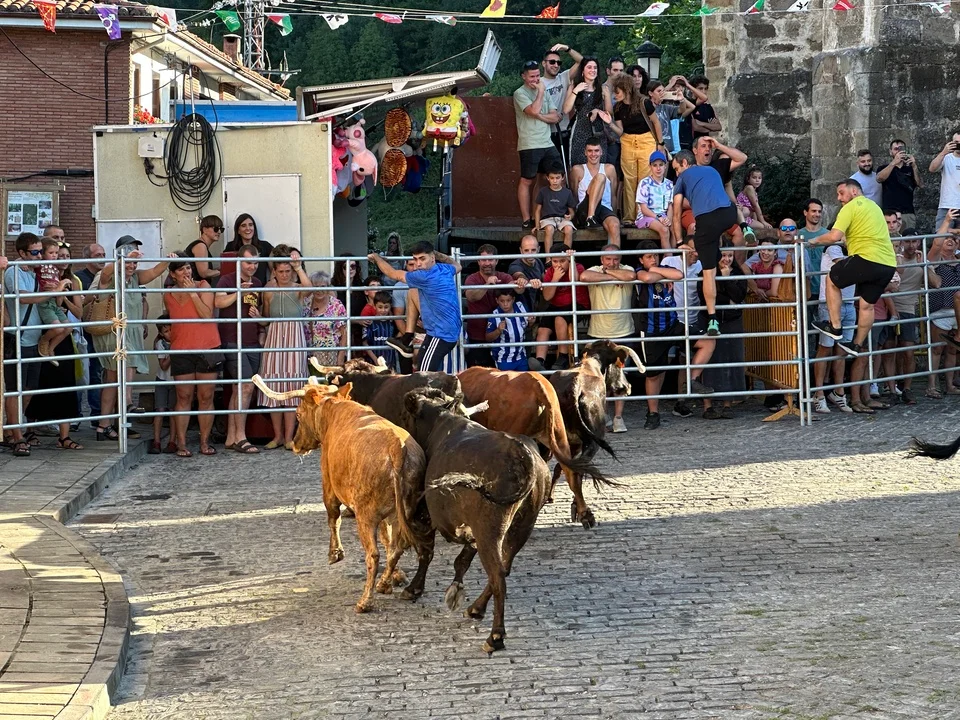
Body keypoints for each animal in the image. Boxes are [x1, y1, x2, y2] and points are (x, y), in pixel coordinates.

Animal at [252, 375, 426, 614]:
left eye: (298, 414)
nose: (295, 444)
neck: (332, 412)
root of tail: (397, 448)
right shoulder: (389, 517)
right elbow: (388, 540)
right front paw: (396, 577)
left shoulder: (328, 483)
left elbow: (333, 517)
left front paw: (335, 553)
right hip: (402, 512)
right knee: (395, 548)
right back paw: (383, 584)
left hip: (366, 515)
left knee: (373, 554)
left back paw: (365, 601)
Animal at [394, 387, 551, 655]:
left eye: (406, 416)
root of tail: (521, 452)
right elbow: (462, 561)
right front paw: (455, 589)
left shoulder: (426, 515)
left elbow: (426, 553)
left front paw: (414, 588)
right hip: (521, 528)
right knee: (504, 568)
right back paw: (476, 608)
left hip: (490, 531)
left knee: (497, 575)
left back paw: (495, 636)